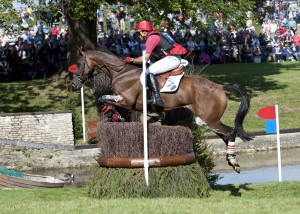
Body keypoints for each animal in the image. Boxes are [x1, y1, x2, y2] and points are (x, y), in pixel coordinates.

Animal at [72, 48, 253, 172]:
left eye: (79, 64)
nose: (74, 84)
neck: (121, 73)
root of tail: (219, 87)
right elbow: (105, 101)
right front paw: (117, 116)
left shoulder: (126, 101)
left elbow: (103, 99)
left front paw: (116, 116)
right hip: (210, 119)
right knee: (226, 134)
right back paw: (232, 161)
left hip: (206, 119)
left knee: (230, 132)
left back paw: (233, 161)